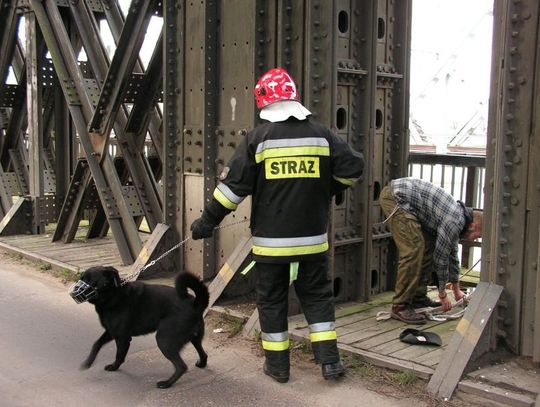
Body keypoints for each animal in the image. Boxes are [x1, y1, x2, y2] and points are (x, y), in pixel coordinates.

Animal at [80, 268, 209, 388]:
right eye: (81, 278)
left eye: (89, 280)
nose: (77, 287)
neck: (114, 294)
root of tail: (195, 304)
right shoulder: (111, 332)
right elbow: (97, 344)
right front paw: (88, 362)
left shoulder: (122, 338)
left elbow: (119, 356)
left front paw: (114, 367)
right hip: (194, 339)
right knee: (203, 354)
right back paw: (201, 364)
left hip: (164, 341)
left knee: (181, 366)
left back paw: (166, 383)